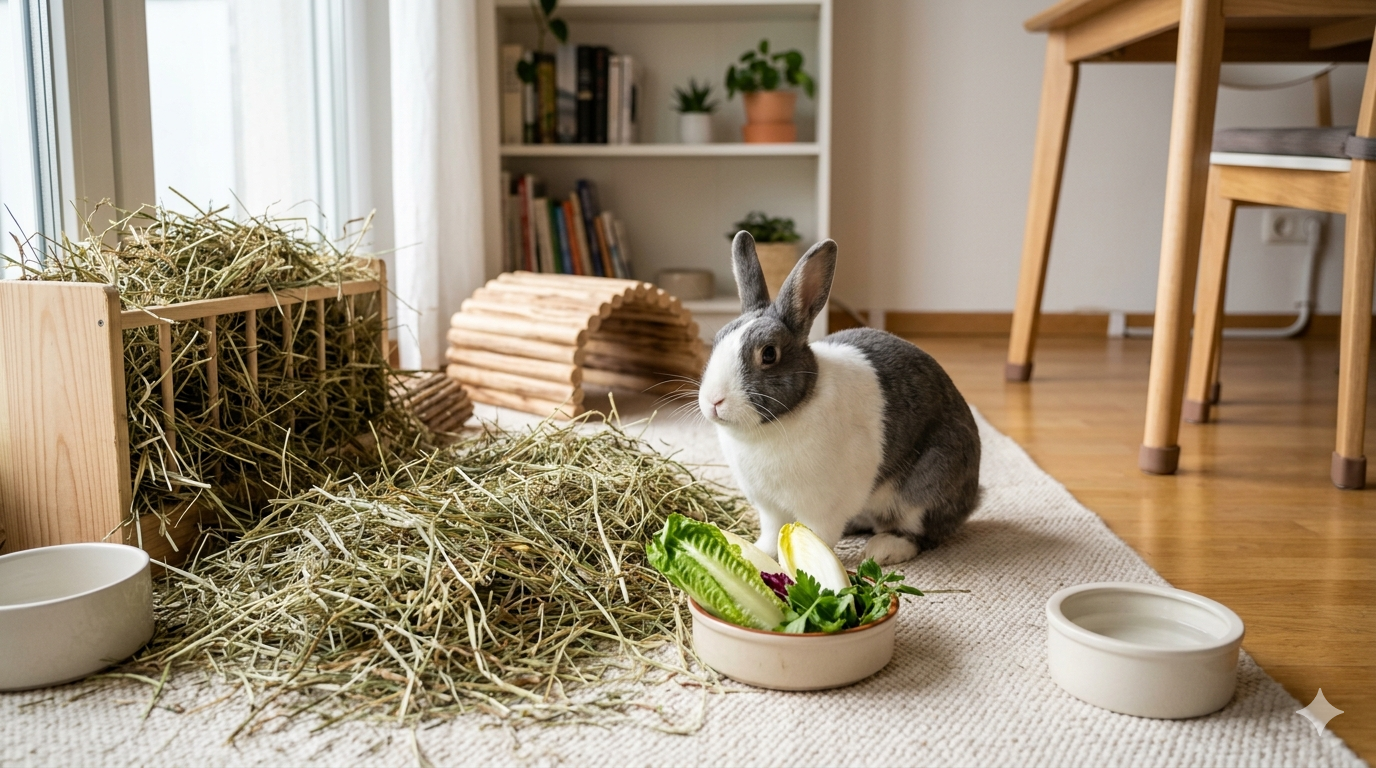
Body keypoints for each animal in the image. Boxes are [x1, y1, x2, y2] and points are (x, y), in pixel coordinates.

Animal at [697, 231, 981, 566]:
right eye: (717, 340)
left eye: (768, 354)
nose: (714, 401)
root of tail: (973, 497)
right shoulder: (769, 507)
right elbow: (770, 533)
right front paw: (759, 554)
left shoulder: (820, 509)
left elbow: (815, 537)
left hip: (926, 486)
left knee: (920, 533)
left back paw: (884, 549)